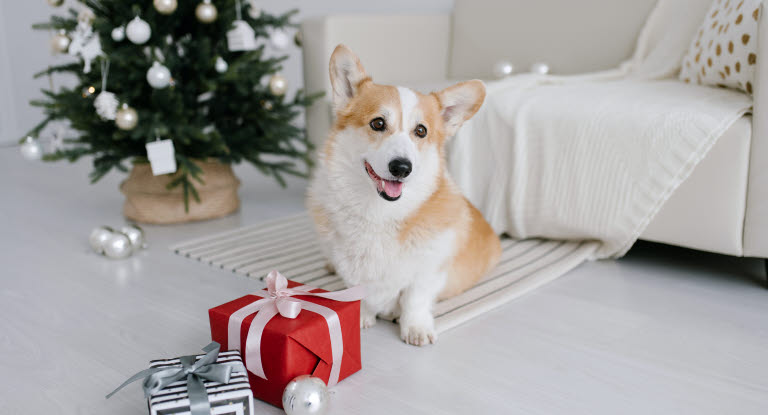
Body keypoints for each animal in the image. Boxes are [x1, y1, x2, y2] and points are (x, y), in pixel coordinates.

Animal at [308, 44, 500, 348]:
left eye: (421, 131)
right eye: (377, 123)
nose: (401, 167)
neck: (379, 212)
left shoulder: (428, 272)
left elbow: (414, 299)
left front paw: (415, 328)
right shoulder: (353, 269)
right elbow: (360, 291)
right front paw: (362, 315)